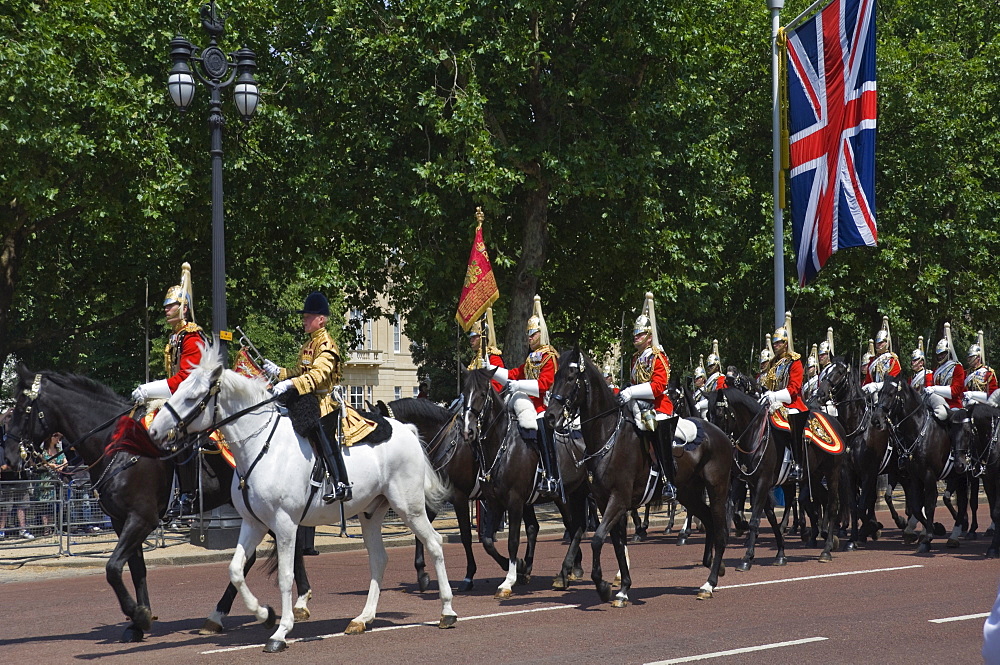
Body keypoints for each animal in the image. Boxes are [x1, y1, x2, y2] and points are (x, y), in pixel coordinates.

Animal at [5, 366, 310, 640]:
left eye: (22, 409)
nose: (9, 459)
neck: (118, 446)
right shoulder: (121, 521)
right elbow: (135, 569)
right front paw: (138, 621)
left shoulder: (142, 518)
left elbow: (113, 568)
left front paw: (139, 615)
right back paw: (221, 616)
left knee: (287, 547)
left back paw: (297, 604)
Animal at [146, 356, 458, 652]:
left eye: (192, 396)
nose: (154, 432)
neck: (260, 447)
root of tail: (405, 429)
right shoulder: (253, 523)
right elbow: (236, 569)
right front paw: (264, 614)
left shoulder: (284, 523)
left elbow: (285, 575)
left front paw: (280, 632)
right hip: (371, 512)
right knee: (379, 558)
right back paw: (363, 618)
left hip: (408, 506)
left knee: (434, 543)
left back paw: (447, 611)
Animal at [458, 366, 588, 600]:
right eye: (464, 393)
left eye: (482, 394)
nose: (467, 431)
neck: (503, 445)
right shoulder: (494, 502)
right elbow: (488, 541)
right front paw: (517, 566)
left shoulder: (515, 501)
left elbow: (512, 540)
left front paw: (508, 581)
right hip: (568, 496)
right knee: (574, 527)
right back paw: (569, 569)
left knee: (582, 526)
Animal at [544, 348, 732, 600]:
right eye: (555, 376)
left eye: (572, 377)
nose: (550, 417)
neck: (607, 436)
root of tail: (720, 433)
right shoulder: (604, 501)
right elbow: (615, 543)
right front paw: (622, 588)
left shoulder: (618, 499)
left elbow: (597, 539)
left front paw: (603, 586)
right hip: (688, 493)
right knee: (709, 521)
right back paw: (712, 565)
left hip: (717, 489)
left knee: (720, 531)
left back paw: (709, 584)